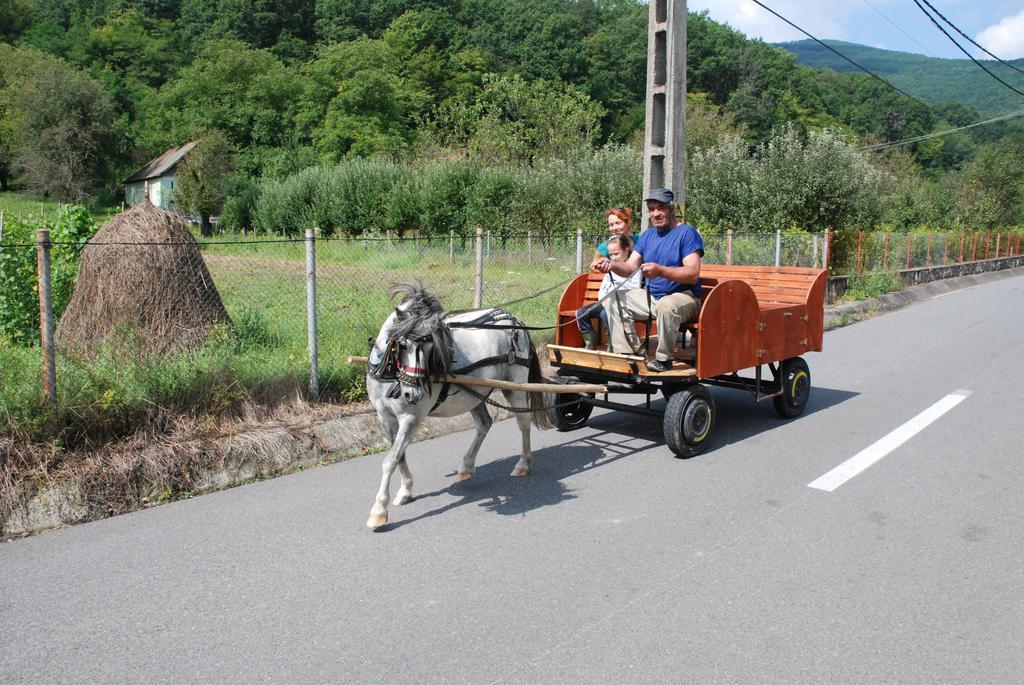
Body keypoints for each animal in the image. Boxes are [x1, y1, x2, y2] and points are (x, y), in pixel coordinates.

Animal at [362, 280, 548, 528]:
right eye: (402, 344)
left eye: (432, 347)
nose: (413, 394)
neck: (392, 376)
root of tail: (514, 320)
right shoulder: (384, 417)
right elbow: (399, 455)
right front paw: (405, 491)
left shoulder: (411, 418)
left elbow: (390, 459)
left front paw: (379, 510)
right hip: (475, 393)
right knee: (484, 423)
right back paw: (466, 467)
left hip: (514, 386)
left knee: (523, 421)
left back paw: (523, 464)